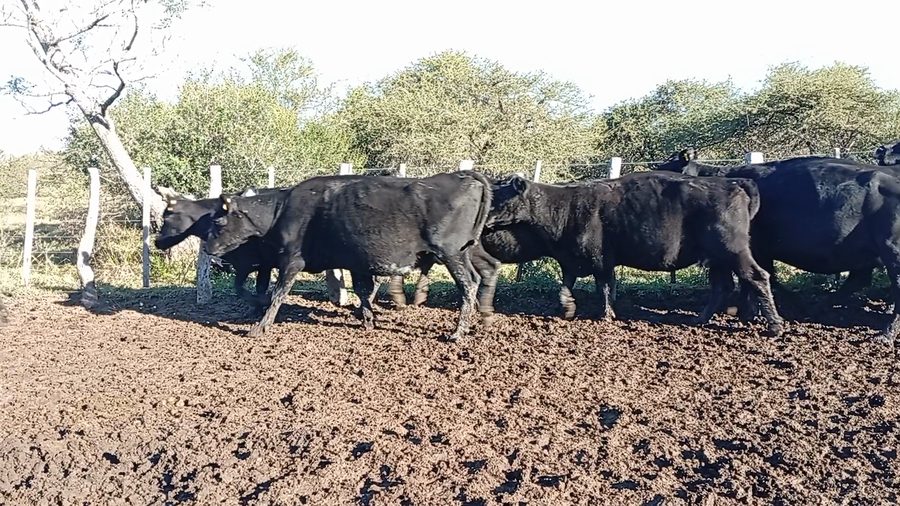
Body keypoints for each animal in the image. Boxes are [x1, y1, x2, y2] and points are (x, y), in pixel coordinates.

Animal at [157, 172, 493, 342]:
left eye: (219, 222)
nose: (209, 251)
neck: (281, 209)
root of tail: (464, 175)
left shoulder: (290, 261)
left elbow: (277, 293)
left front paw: (259, 327)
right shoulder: (355, 261)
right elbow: (362, 290)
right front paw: (367, 320)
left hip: (451, 253)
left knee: (468, 285)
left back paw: (458, 333)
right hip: (467, 250)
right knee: (483, 274)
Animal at [482, 171, 784, 336]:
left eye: (500, 196)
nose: (483, 219)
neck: (563, 207)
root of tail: (733, 183)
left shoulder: (599, 258)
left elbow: (604, 286)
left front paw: (606, 315)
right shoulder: (572, 257)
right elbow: (567, 284)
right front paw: (568, 308)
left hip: (733, 250)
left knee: (757, 277)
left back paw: (774, 325)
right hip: (718, 257)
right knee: (722, 286)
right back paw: (700, 319)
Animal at [657, 148, 900, 344]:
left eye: (667, 168)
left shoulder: (754, 249)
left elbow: (759, 278)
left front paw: (751, 312)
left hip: (892, 252)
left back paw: (884, 335)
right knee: (858, 280)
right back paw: (820, 307)